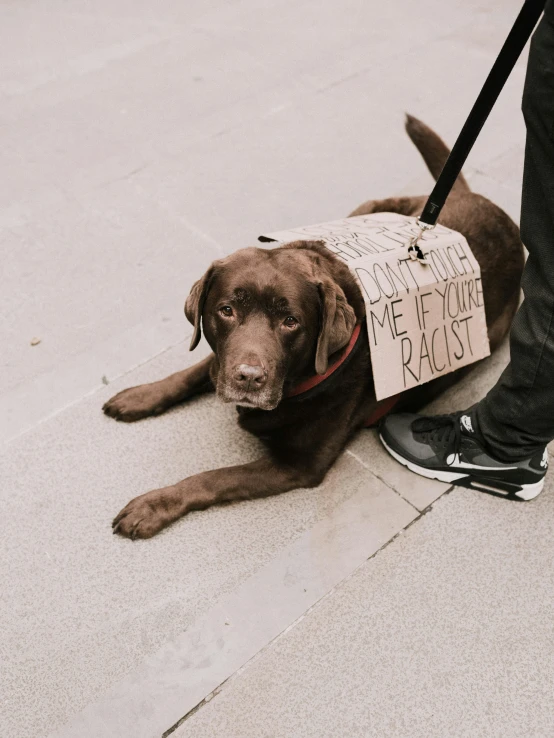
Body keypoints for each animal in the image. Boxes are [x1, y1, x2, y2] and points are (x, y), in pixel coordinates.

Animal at [103, 116, 520, 540]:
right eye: (226, 310)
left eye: (291, 322)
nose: (248, 377)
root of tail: (484, 202)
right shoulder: (222, 359)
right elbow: (194, 370)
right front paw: (141, 395)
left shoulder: (297, 466)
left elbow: (213, 478)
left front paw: (155, 505)